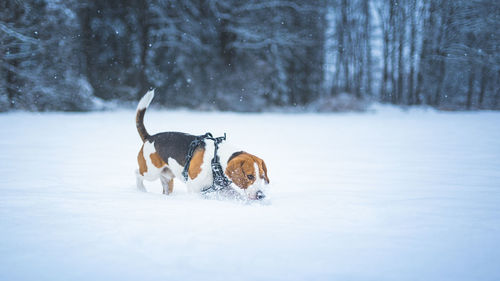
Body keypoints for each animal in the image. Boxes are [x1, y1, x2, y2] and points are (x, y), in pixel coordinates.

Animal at [135, 89, 270, 199]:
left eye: (262, 176)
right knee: (137, 173)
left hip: (167, 177)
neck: (216, 161)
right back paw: (141, 190)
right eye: (250, 176)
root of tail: (150, 137)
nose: (261, 195)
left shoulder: (223, 189)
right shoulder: (194, 188)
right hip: (150, 172)